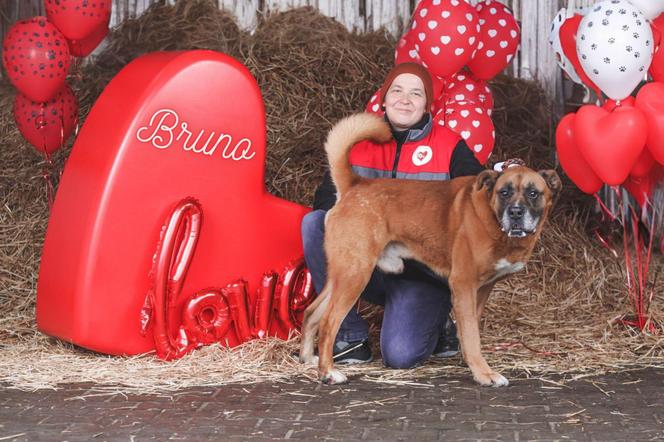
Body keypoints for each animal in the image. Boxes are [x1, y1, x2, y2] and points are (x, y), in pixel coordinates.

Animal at [300, 113, 560, 386]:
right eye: (505, 192)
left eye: (533, 193)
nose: (516, 213)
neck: (492, 218)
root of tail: (355, 185)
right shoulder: (463, 284)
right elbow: (471, 334)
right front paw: (483, 373)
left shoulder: (482, 289)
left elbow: (471, 331)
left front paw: (471, 362)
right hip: (355, 275)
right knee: (328, 322)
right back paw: (328, 371)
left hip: (341, 276)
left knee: (311, 313)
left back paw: (308, 359)